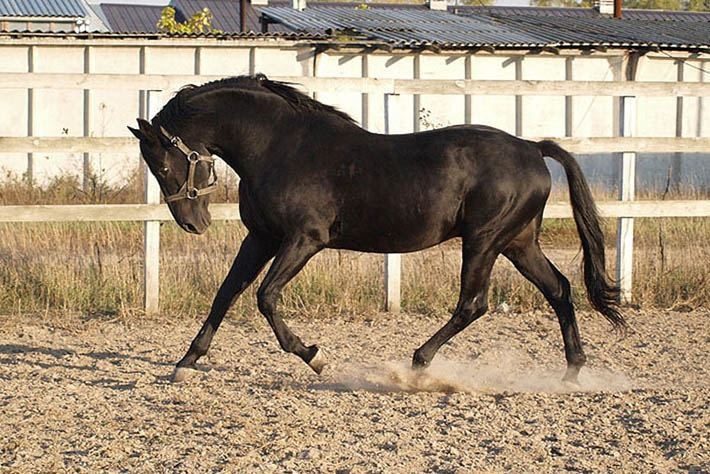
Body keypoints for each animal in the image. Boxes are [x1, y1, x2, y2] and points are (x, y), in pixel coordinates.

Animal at [129, 75, 628, 386]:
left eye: (163, 164)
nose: (193, 224)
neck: (279, 147)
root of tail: (531, 147)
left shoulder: (304, 240)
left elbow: (265, 297)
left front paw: (315, 356)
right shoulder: (262, 238)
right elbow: (226, 293)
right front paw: (185, 363)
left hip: (484, 240)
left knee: (473, 303)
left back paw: (418, 363)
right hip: (518, 242)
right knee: (559, 289)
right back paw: (572, 371)